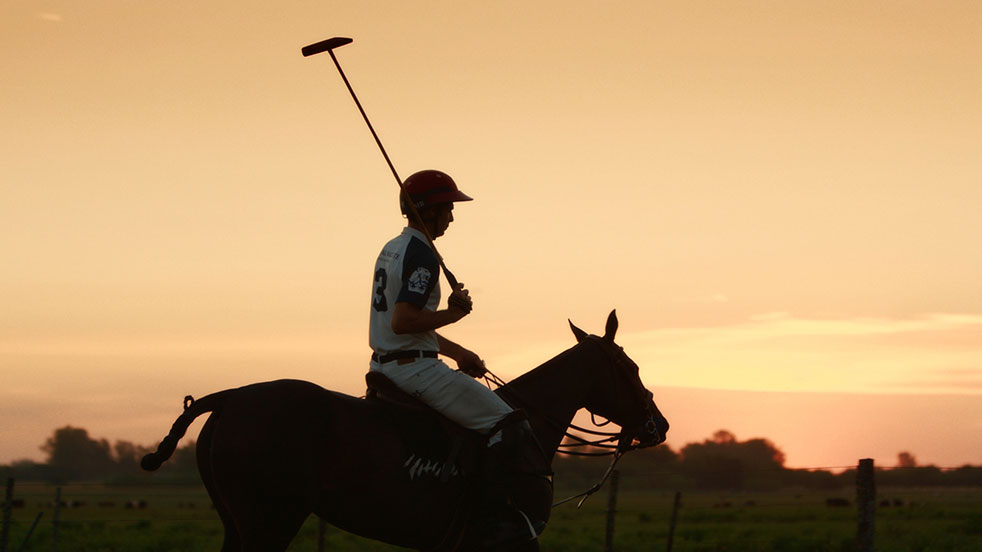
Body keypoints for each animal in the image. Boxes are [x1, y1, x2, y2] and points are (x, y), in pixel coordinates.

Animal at [142, 310, 672, 548]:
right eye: (630, 367)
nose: (659, 425)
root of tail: (230, 397)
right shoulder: (507, 540)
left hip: (239, 522)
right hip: (268, 522)